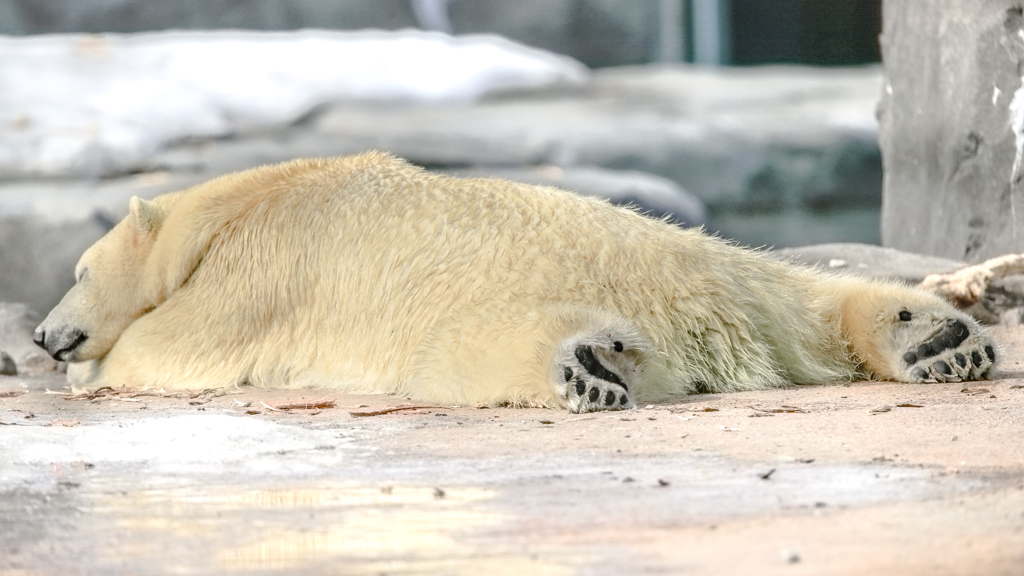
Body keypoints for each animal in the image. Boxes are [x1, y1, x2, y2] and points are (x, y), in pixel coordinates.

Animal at [36, 150, 995, 409]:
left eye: (76, 271)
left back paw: (586, 366)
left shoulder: (253, 275)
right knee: (815, 296)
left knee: (483, 354)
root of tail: (700, 309)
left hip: (470, 314)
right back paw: (936, 338)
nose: (44, 335)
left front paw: (94, 366)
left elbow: (170, 347)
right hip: (738, 268)